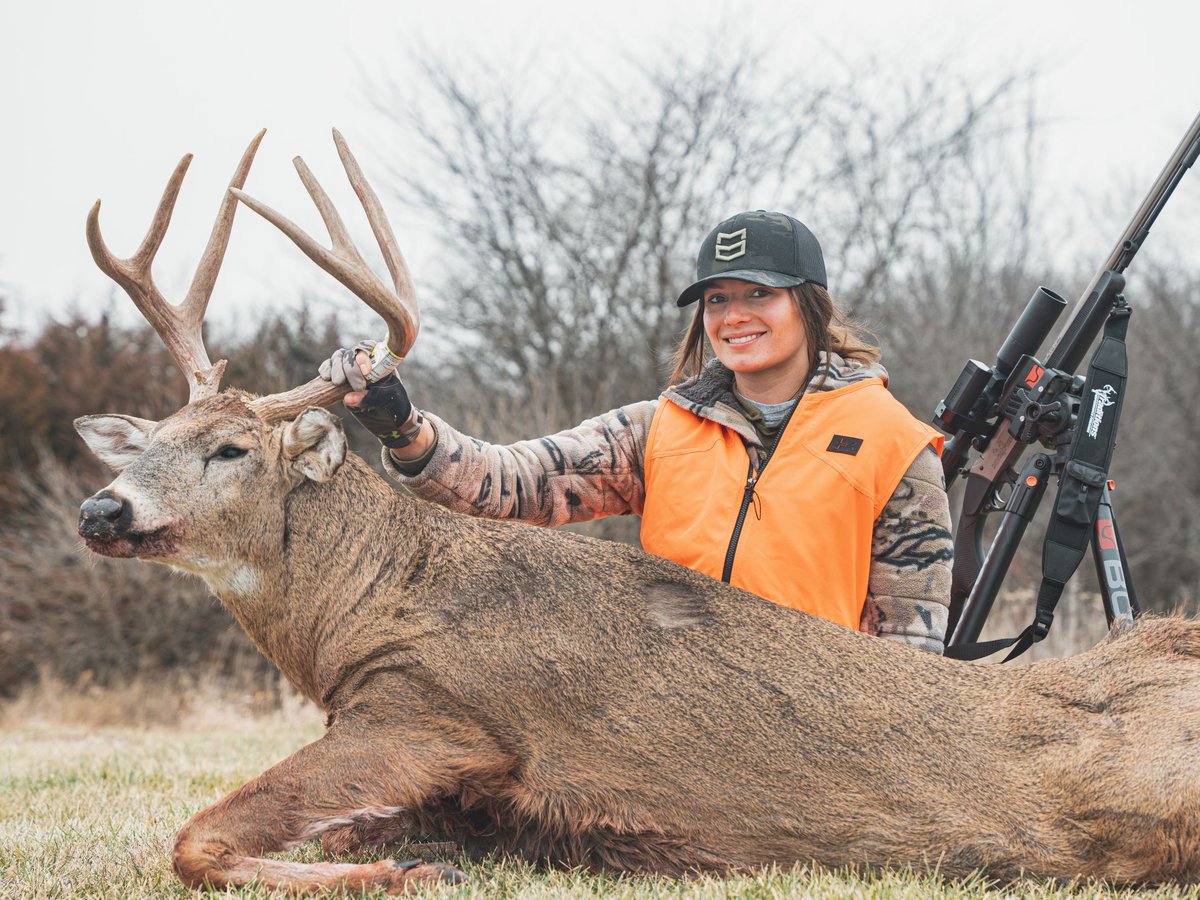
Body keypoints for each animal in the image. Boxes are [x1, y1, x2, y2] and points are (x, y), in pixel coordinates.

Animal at [74, 130, 1200, 895]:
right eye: (155, 437)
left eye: (229, 450)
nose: (100, 509)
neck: (367, 606)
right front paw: (404, 860)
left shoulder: (433, 712)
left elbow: (200, 839)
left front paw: (406, 873)